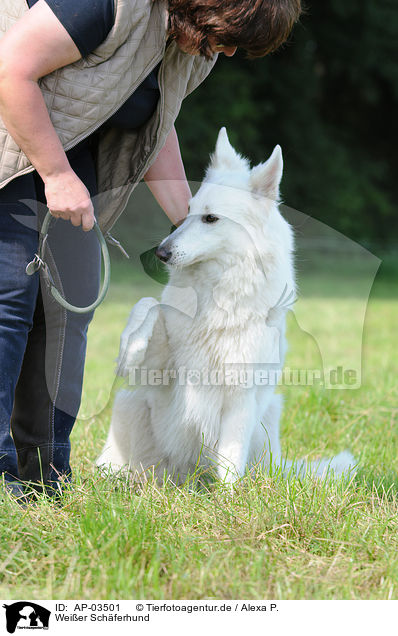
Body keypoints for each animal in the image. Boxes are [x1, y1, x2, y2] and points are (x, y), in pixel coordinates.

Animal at [97, 130, 354, 486]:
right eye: (188, 211)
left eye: (210, 219)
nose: (161, 253)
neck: (217, 295)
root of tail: (186, 475)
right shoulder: (161, 371)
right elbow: (147, 305)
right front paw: (129, 349)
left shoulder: (240, 400)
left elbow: (230, 462)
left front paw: (230, 495)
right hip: (130, 404)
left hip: (266, 418)